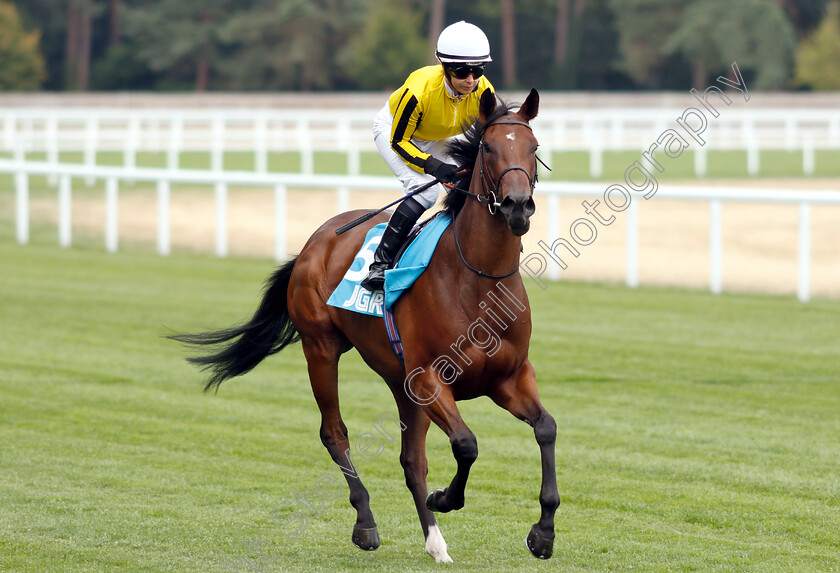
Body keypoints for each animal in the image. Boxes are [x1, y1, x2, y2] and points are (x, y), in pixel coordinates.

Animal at [172, 87, 556, 560]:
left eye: (533, 147)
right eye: (487, 147)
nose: (517, 206)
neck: (478, 279)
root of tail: (315, 240)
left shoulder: (508, 377)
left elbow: (545, 428)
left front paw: (543, 532)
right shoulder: (429, 377)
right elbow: (467, 444)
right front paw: (446, 498)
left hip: (398, 380)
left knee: (412, 460)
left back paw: (435, 543)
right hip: (321, 347)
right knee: (335, 434)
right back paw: (366, 524)